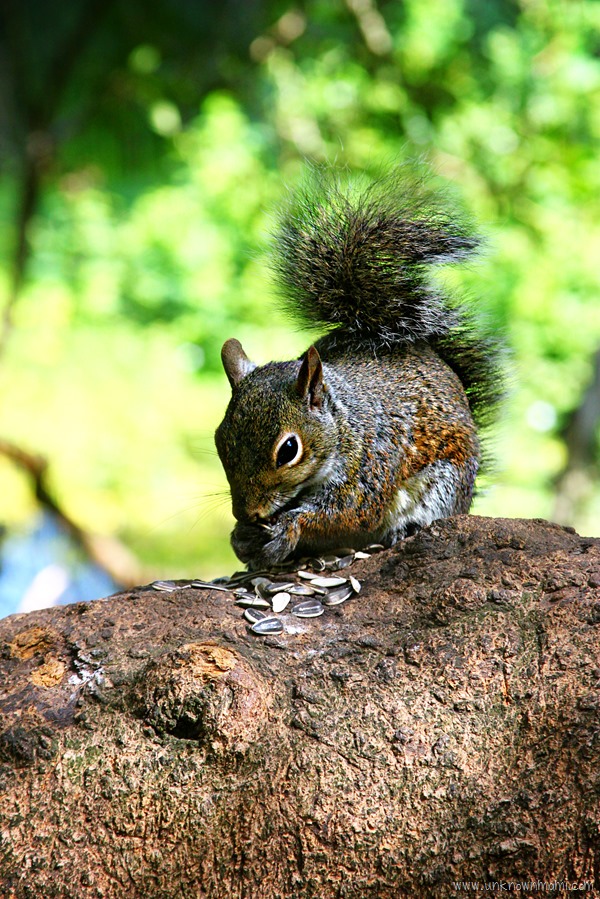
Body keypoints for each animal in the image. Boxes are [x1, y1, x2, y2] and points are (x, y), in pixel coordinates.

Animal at [215, 165, 503, 570]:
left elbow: (349, 511)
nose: (247, 514)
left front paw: (287, 527)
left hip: (446, 483)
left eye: (288, 450)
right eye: (220, 441)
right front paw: (241, 539)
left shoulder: (373, 463)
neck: (344, 424)